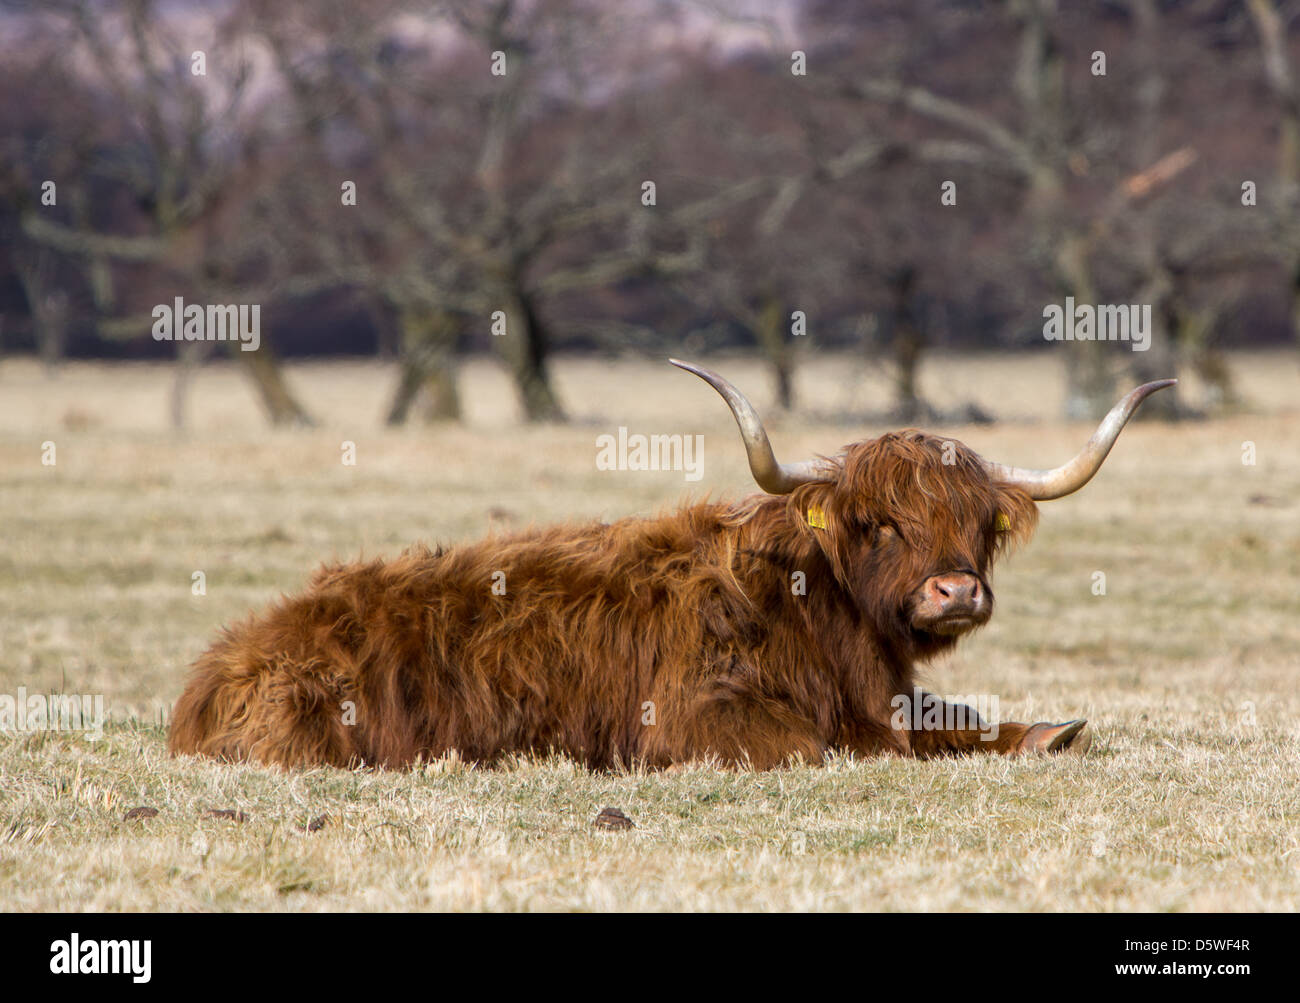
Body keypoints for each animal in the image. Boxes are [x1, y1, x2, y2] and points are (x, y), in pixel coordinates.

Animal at [168, 360, 1174, 770]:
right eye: (879, 522)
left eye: (975, 522)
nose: (955, 588)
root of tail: (219, 662)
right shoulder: (696, 716)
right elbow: (819, 747)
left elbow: (957, 725)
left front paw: (1049, 732)